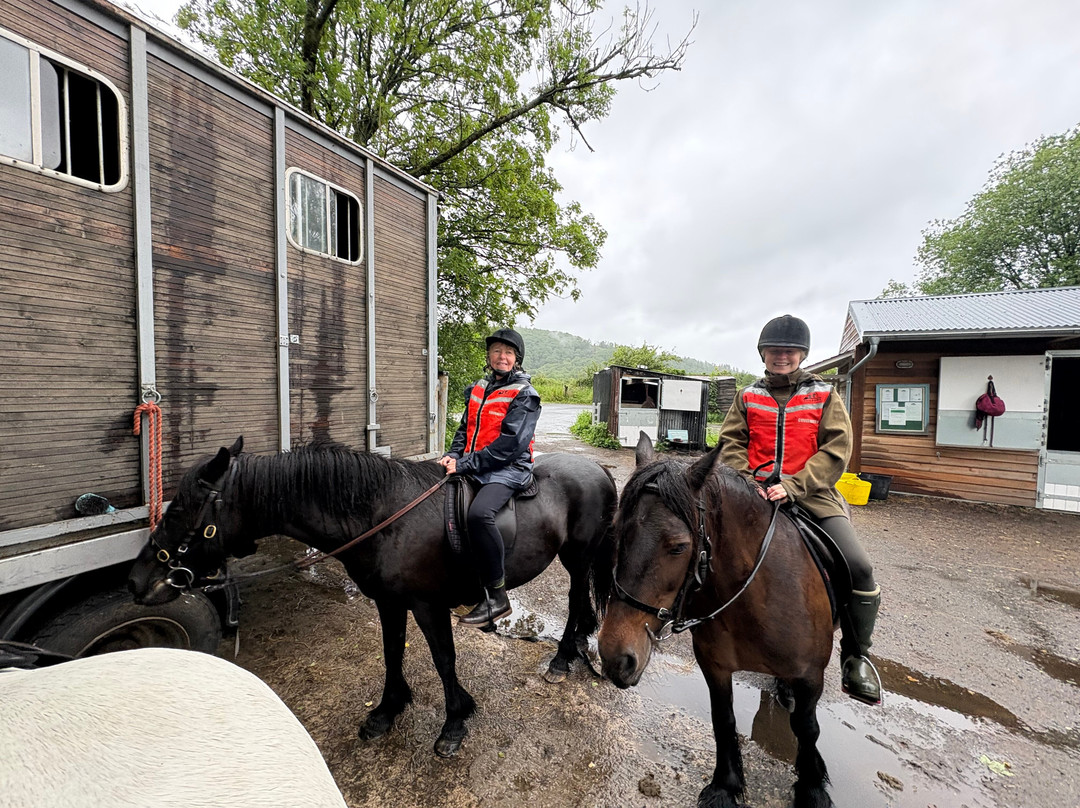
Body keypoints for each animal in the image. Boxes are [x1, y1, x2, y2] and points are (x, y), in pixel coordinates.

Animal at [128, 437, 617, 758]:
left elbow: (443, 660)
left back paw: (561, 659)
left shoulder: (427, 604)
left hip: (578, 558)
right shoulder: (389, 601)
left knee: (575, 602)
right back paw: (572, 651)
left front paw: (454, 723)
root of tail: (599, 470)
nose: (137, 581)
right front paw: (387, 711)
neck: (384, 516)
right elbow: (391, 652)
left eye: (179, 510)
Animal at [596, 435, 835, 808]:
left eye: (679, 547)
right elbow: (723, 720)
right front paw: (726, 784)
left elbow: (807, 728)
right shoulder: (715, 666)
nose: (615, 657)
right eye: (615, 530)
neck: (756, 597)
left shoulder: (810, 674)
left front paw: (812, 787)